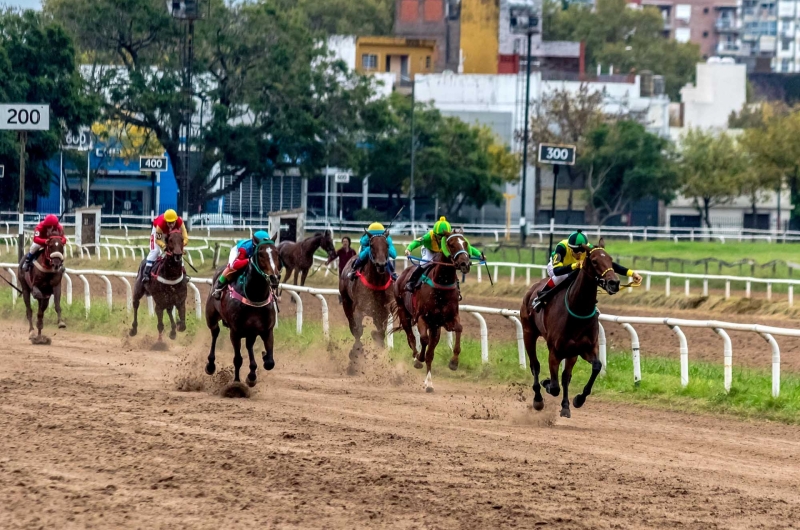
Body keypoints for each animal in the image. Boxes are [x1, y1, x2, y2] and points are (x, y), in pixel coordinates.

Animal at [205, 233, 282, 386]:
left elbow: (270, 362)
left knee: (249, 345)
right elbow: (237, 359)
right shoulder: (235, 331)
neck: (255, 296)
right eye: (260, 254)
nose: (274, 278)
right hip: (211, 317)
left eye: (277, 253)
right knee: (215, 333)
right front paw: (236, 382)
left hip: (251, 331)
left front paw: (262, 359)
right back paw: (210, 365)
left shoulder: (267, 330)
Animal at [396, 232, 476, 392]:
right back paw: (416, 357)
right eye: (451, 244)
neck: (441, 284)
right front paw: (419, 358)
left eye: (465, 243)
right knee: (411, 337)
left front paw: (454, 362)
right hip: (403, 313)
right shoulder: (422, 317)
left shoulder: (448, 318)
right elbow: (423, 339)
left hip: (435, 327)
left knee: (430, 352)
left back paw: (429, 383)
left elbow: (459, 328)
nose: (465, 264)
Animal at [516, 238, 620, 416]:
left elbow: (595, 367)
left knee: (565, 376)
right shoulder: (554, 351)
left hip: (571, 352)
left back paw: (565, 405)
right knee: (535, 366)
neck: (578, 309)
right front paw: (547, 383)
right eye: (594, 261)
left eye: (610, 259)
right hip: (529, 332)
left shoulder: (584, 348)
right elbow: (554, 386)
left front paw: (578, 399)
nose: (614, 283)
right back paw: (538, 399)